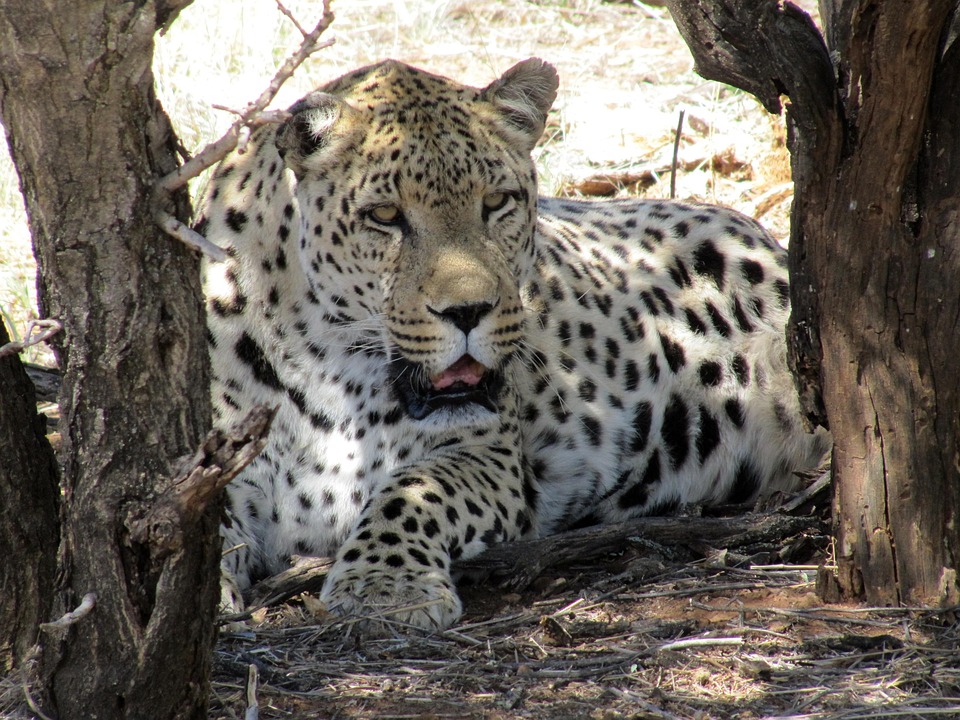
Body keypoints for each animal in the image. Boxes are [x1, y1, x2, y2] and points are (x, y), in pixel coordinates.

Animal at [201, 58, 829, 632]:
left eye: (497, 201)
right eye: (384, 215)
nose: (468, 311)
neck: (327, 368)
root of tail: (766, 236)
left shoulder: (490, 454)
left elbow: (411, 493)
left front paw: (386, 586)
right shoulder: (220, 459)